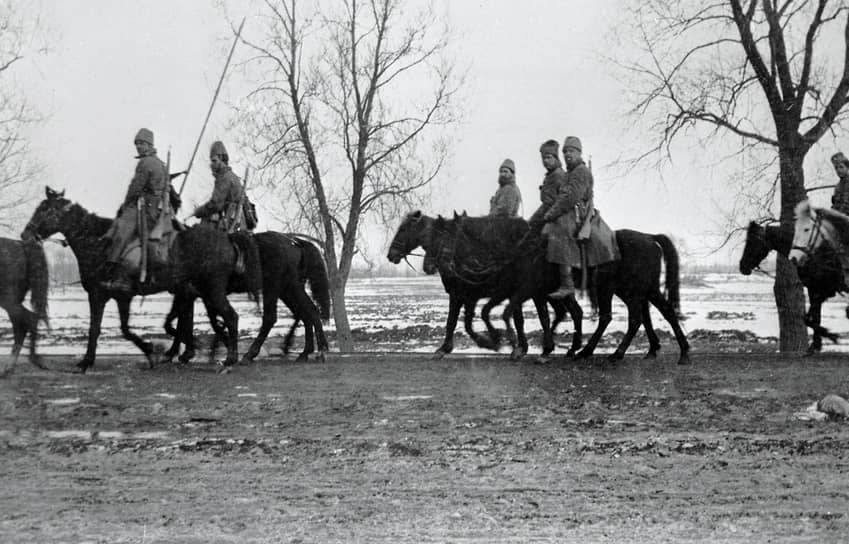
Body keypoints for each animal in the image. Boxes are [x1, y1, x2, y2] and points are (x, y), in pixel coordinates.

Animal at [21, 185, 260, 372]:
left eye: (45, 209)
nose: (26, 234)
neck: (97, 241)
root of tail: (228, 237)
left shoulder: (99, 295)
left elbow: (96, 328)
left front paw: (86, 361)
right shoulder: (121, 297)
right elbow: (125, 329)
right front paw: (151, 350)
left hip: (213, 290)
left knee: (231, 317)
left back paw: (230, 358)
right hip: (202, 291)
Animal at [164, 232, 330, 364]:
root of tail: (294, 242)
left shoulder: (193, 293)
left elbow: (185, 321)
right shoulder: (196, 295)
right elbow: (185, 320)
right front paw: (183, 352)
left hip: (278, 288)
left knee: (274, 317)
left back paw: (251, 354)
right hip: (287, 291)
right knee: (308, 313)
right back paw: (307, 352)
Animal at [390, 212, 688, 366]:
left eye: (405, 229)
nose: (391, 255)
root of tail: (649, 237)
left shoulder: (506, 292)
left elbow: (481, 317)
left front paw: (505, 343)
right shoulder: (496, 293)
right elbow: (479, 318)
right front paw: (518, 344)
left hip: (619, 290)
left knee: (625, 317)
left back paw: (606, 352)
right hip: (637, 289)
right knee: (657, 312)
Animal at [736, 222, 840, 356]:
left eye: (751, 242)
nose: (742, 266)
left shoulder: (817, 290)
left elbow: (811, 319)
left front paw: (825, 339)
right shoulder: (816, 292)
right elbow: (813, 318)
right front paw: (817, 344)